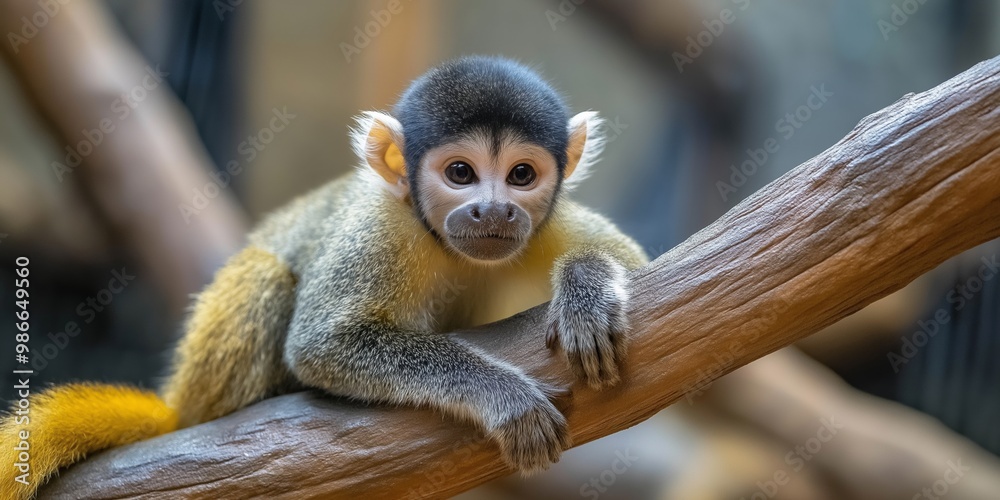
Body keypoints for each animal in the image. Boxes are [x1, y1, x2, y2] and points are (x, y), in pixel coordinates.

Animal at [0, 56, 648, 498]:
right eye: (461, 173)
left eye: (521, 175)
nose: (494, 211)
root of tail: (181, 408)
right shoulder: (381, 227)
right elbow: (323, 345)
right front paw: (501, 396)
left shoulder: (549, 223)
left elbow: (652, 282)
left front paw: (586, 288)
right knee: (265, 273)